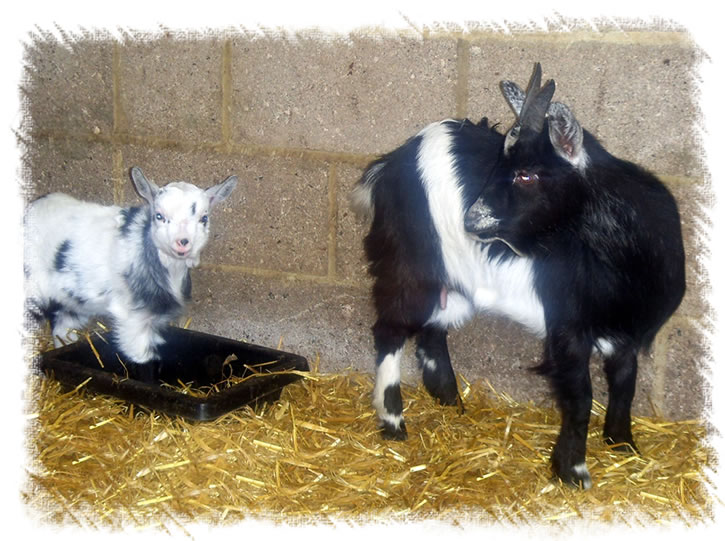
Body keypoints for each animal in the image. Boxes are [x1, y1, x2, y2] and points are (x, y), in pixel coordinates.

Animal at [25, 166, 238, 365]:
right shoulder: (132, 319)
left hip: (72, 299)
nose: (182, 242)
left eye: (204, 218)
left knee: (63, 330)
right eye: (159, 216)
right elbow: (142, 360)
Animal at [351, 63, 685, 488]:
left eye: (527, 175)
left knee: (431, 331)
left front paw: (623, 444)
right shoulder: (567, 327)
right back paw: (393, 422)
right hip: (409, 263)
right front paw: (573, 472)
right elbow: (580, 398)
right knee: (391, 330)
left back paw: (450, 402)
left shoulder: (626, 331)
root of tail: (390, 163)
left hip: (452, 282)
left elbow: (625, 383)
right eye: (499, 164)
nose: (471, 221)